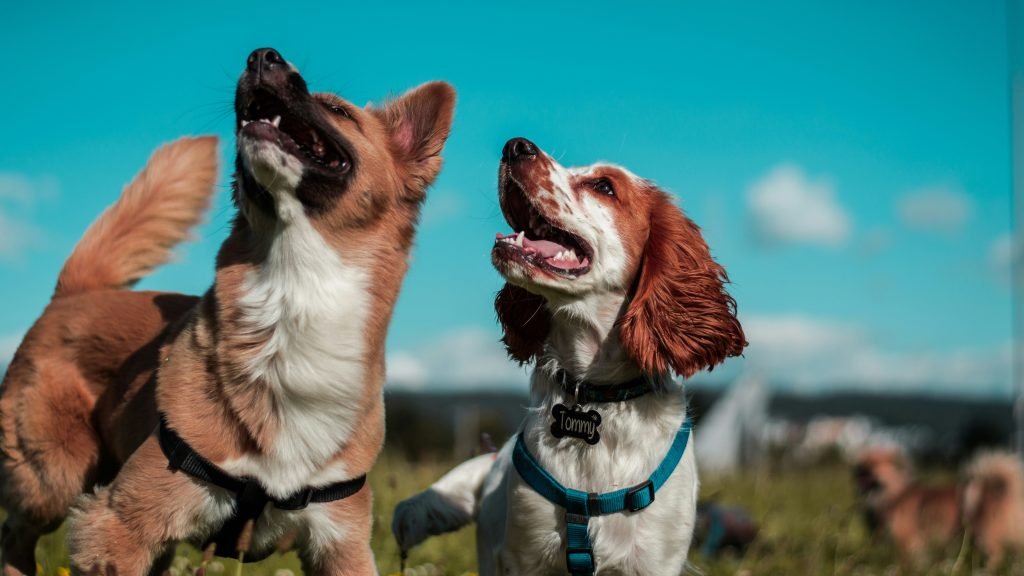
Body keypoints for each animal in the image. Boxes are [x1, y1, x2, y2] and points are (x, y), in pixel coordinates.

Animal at [0, 48, 456, 573]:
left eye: (337, 110)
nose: (263, 55)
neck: (294, 294)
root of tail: (77, 291)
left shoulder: (343, 543)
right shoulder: (118, 524)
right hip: (53, 480)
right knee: (15, 533)